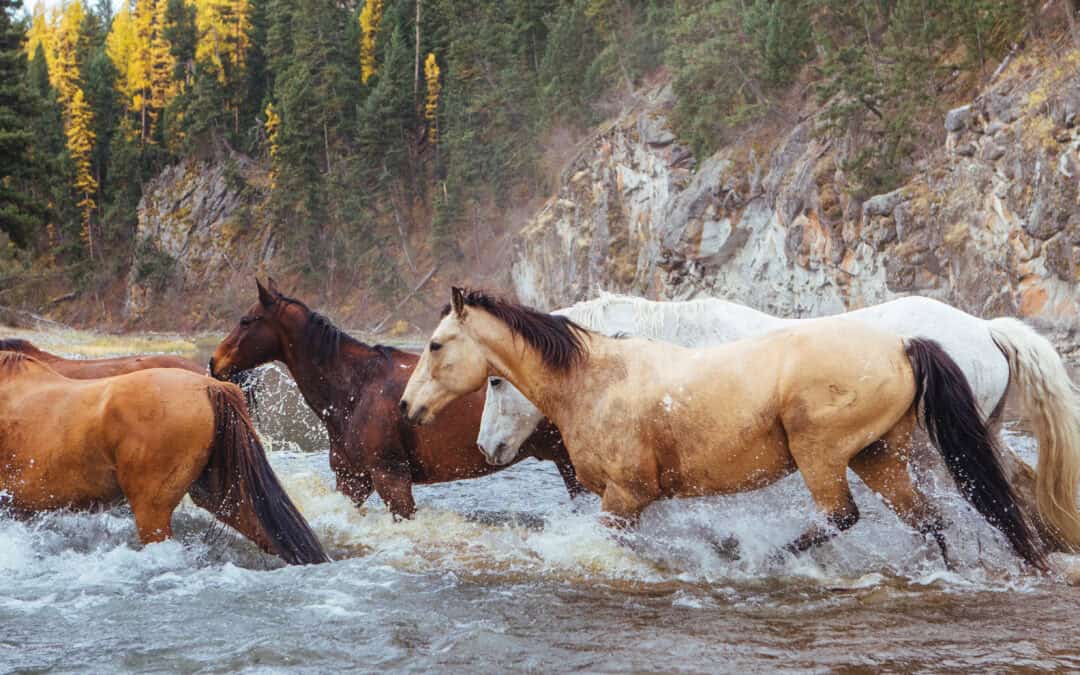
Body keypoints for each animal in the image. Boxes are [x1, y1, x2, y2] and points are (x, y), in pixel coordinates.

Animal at [400, 288, 1048, 571]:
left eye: (494, 383)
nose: (408, 408)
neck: (603, 373)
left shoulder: (630, 493)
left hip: (847, 455)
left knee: (858, 516)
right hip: (886, 454)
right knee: (955, 512)